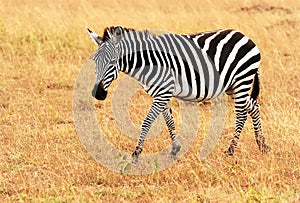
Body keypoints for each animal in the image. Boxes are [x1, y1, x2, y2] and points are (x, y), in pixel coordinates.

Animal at [86, 26, 270, 163]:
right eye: (94, 61)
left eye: (112, 62)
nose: (98, 94)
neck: (148, 63)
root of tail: (244, 36)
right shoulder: (161, 94)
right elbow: (169, 121)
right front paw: (175, 150)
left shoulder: (162, 93)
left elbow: (147, 122)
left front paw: (136, 153)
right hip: (233, 86)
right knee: (253, 106)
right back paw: (262, 145)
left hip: (241, 80)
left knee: (241, 114)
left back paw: (231, 150)